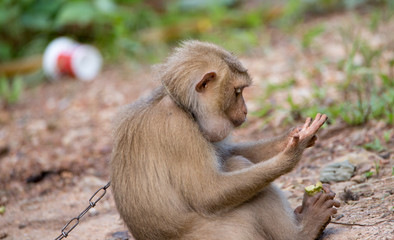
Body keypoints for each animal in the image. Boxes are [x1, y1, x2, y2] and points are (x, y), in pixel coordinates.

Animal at [111, 40, 338, 239]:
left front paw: (292, 137)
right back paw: (302, 232)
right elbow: (207, 193)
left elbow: (225, 153)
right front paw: (291, 154)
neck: (182, 106)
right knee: (237, 167)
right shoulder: (176, 127)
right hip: (230, 231)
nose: (246, 110)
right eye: (237, 92)